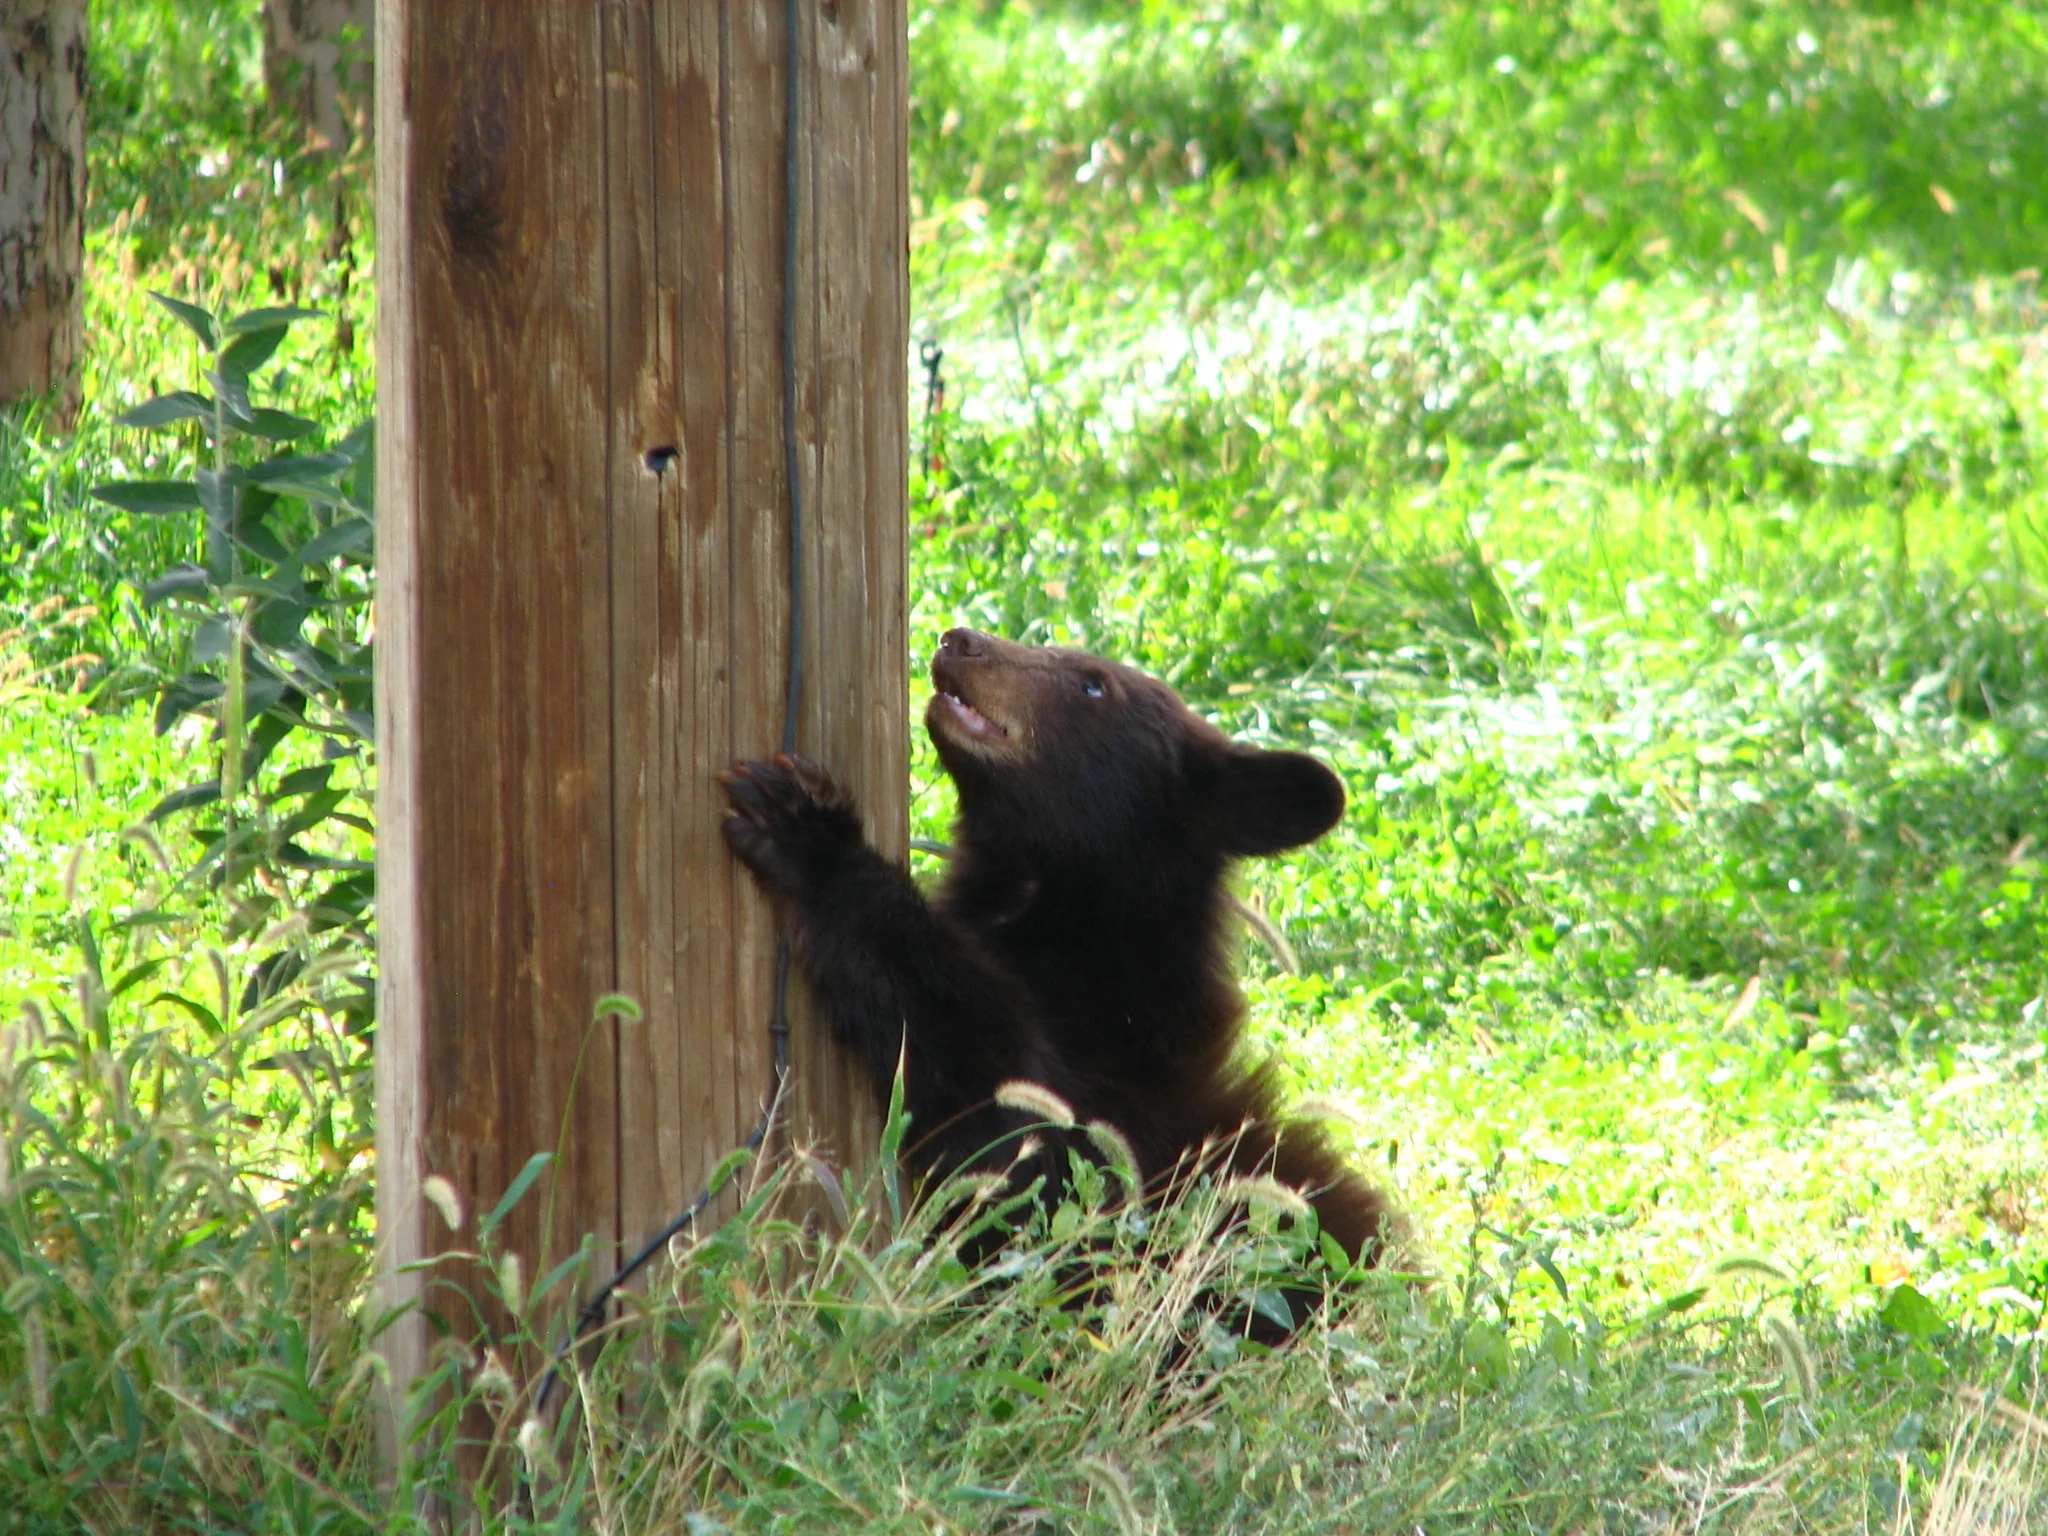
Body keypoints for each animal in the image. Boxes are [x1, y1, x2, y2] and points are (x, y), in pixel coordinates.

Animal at [718, 626, 1392, 1294]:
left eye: (1093, 685)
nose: (959, 640)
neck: (1074, 916)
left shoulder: (1097, 1096)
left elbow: (992, 1091)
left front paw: (807, 829)